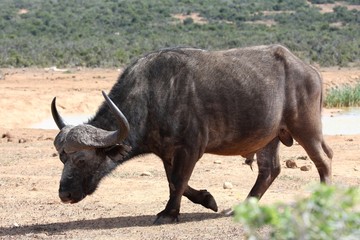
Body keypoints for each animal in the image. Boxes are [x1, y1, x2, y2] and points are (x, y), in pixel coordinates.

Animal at [50, 44, 332, 223]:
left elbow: (178, 180)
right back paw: (242, 208)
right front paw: (207, 199)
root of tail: (309, 70)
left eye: (81, 159)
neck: (152, 96)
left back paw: (323, 202)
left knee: (323, 159)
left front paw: (169, 213)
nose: (65, 194)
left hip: (306, 129)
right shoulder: (167, 153)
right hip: (270, 137)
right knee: (269, 170)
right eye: (62, 158)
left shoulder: (191, 148)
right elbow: (176, 182)